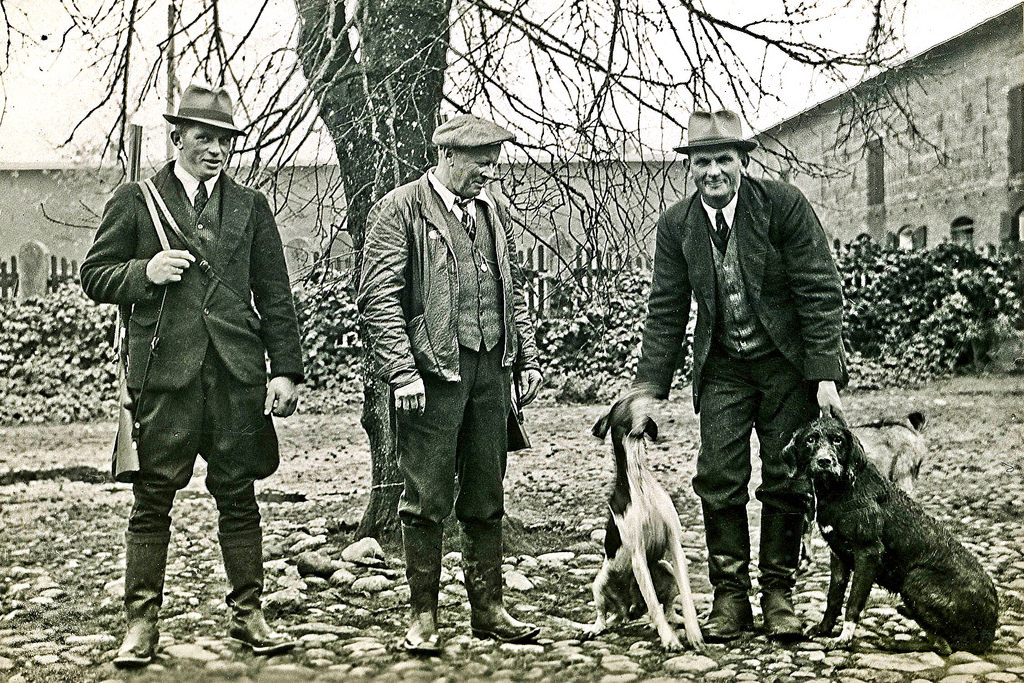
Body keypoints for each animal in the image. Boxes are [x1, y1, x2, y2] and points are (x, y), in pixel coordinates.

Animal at [585, 389, 704, 651]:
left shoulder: (674, 544)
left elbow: (686, 597)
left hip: (665, 568)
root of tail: (627, 608)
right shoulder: (637, 554)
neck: (638, 479)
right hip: (601, 580)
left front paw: (694, 634)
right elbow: (653, 605)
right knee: (605, 613)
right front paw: (669, 639)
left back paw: (675, 620)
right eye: (627, 404)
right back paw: (597, 627)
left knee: (666, 608)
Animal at [790, 413, 999, 655]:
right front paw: (823, 629)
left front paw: (844, 639)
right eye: (810, 440)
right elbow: (833, 598)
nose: (825, 461)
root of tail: (989, 632)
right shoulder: (838, 556)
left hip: (914, 579)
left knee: (946, 646)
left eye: (837, 440)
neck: (840, 488)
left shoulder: (868, 555)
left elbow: (853, 602)